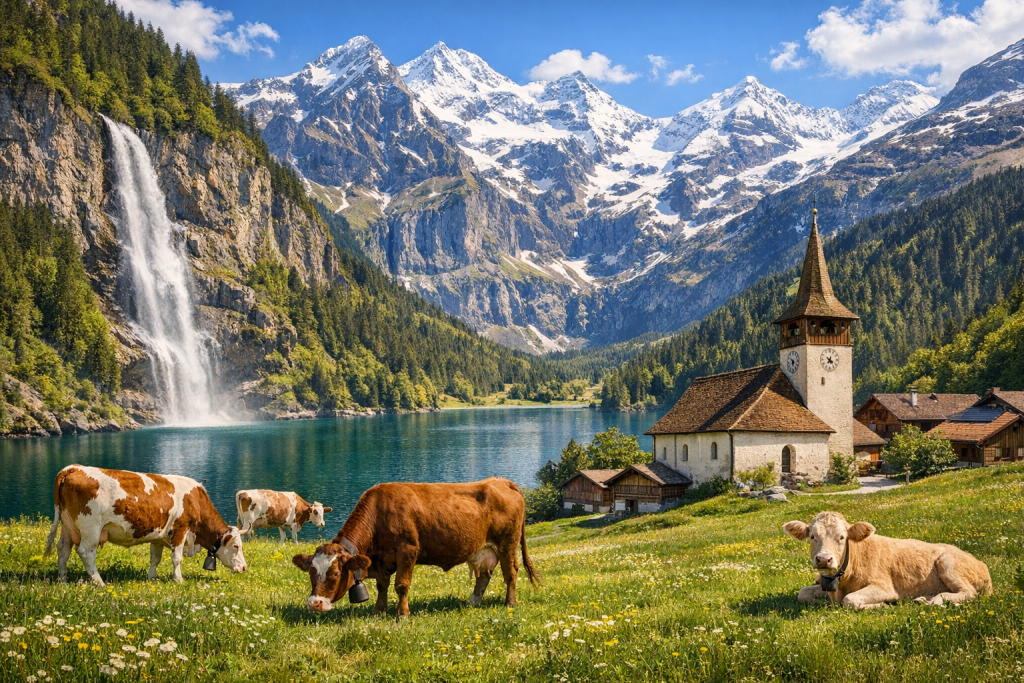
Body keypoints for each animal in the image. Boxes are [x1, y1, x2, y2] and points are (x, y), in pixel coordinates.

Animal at [43, 464, 248, 586]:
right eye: (236, 546)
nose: (245, 568)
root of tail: (74, 467)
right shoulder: (180, 529)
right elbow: (177, 559)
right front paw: (179, 579)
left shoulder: (158, 536)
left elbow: (155, 559)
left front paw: (152, 578)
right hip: (91, 528)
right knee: (85, 552)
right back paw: (99, 582)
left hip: (68, 525)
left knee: (63, 549)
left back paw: (63, 578)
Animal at [292, 477, 539, 617]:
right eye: (311, 573)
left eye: (335, 574)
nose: (314, 604)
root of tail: (500, 480)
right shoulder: (381, 559)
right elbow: (382, 587)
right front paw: (378, 612)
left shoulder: (407, 550)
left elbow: (401, 585)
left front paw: (402, 614)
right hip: (484, 549)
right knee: (485, 574)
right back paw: (472, 601)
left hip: (507, 543)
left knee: (511, 573)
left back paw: (510, 603)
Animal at [783, 511, 992, 609]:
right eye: (812, 536)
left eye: (842, 537)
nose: (824, 559)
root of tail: (981, 563)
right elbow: (802, 593)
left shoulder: (884, 587)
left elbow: (850, 600)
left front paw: (880, 605)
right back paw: (923, 598)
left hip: (947, 564)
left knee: (969, 593)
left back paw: (938, 600)